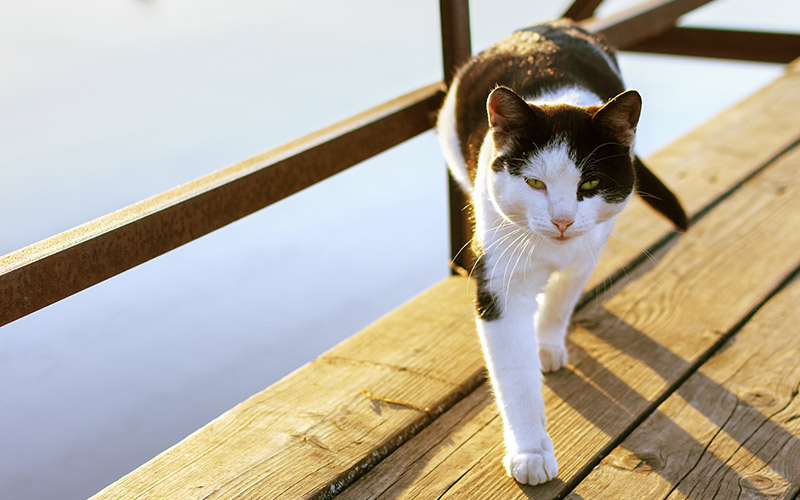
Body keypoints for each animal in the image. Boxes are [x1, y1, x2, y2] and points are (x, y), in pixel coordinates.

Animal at [434, 19, 684, 484]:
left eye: (590, 184)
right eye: (534, 183)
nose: (563, 220)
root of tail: (551, 24)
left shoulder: (589, 249)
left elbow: (560, 299)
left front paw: (547, 342)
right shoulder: (499, 281)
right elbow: (514, 372)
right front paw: (530, 452)